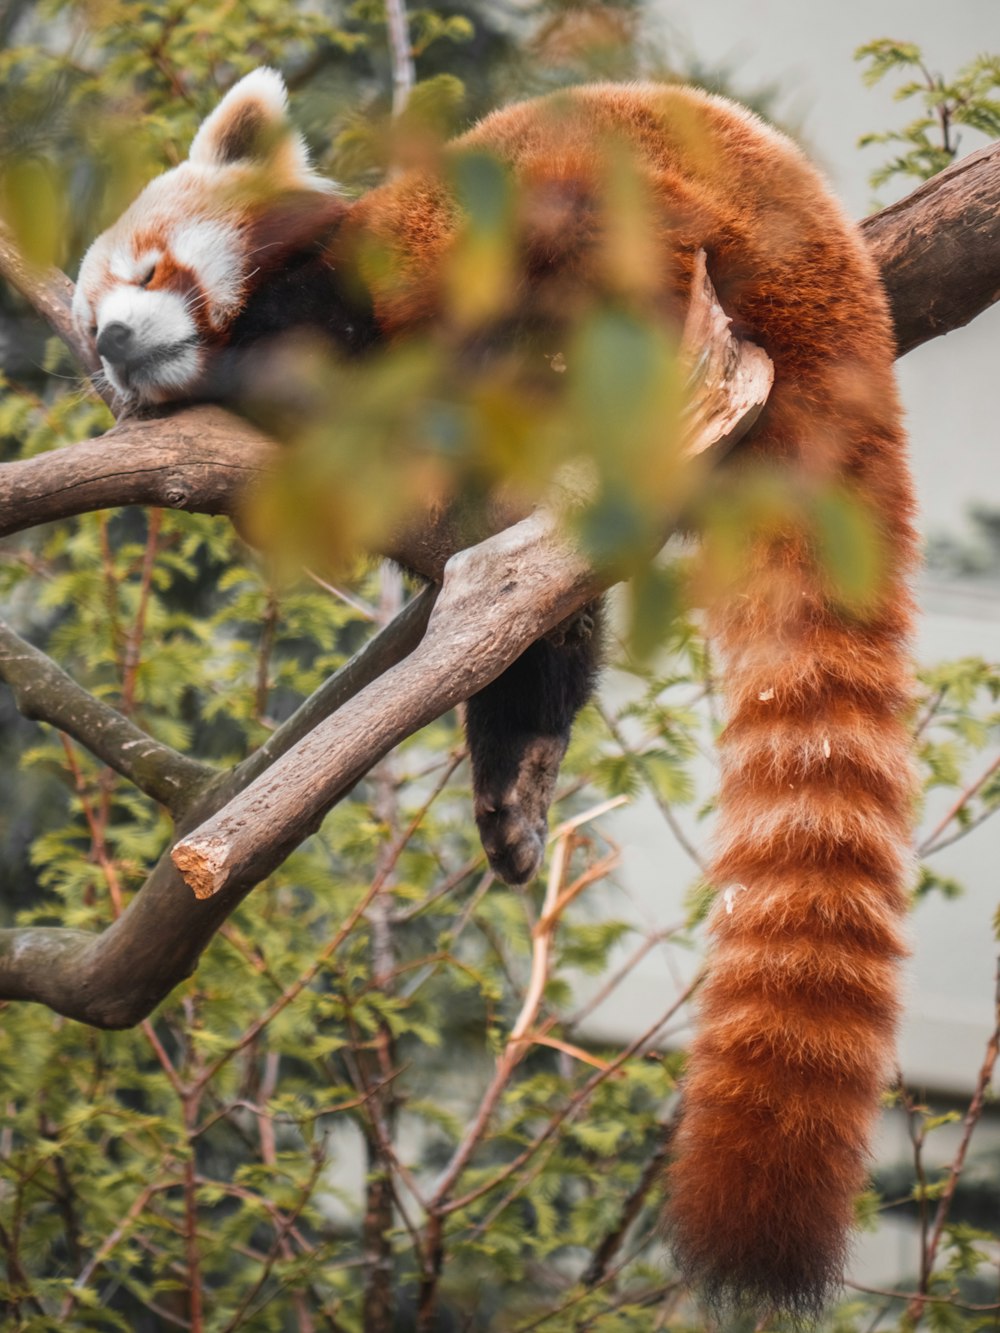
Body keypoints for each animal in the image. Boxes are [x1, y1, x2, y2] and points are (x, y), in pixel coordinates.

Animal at [74, 70, 922, 1311]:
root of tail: (831, 256)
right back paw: (517, 767)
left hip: (630, 217)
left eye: (143, 272)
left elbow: (309, 359)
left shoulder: (347, 284)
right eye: (89, 324)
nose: (112, 343)